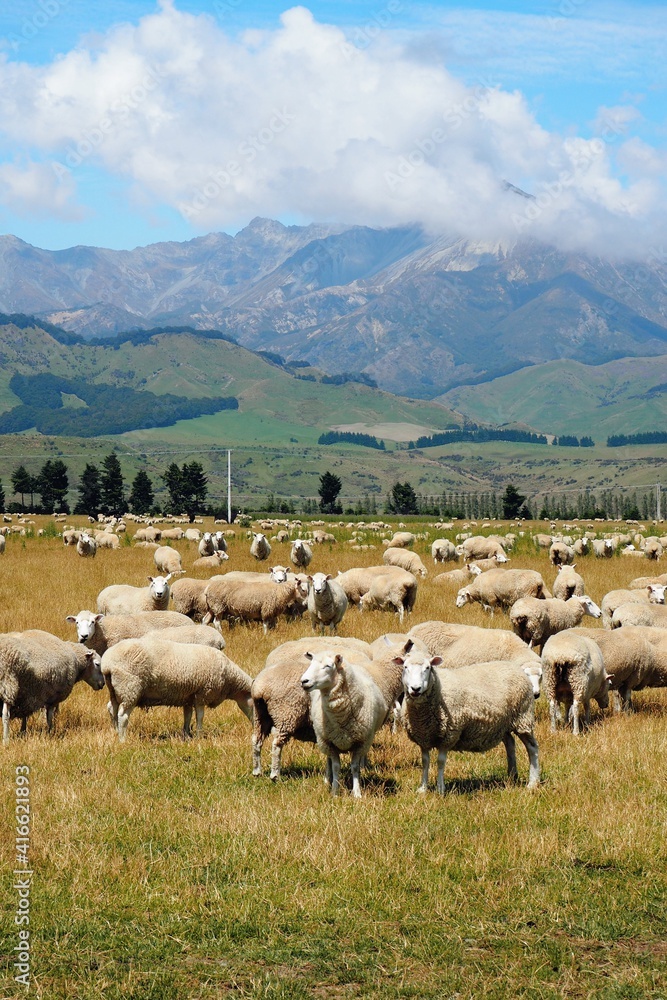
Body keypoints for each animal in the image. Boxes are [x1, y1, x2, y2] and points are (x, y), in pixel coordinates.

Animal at [102, 637, 253, 741]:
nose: (255, 725)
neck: (229, 678)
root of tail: (107, 664)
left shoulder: (188, 696)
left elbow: (188, 716)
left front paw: (187, 735)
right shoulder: (202, 694)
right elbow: (200, 716)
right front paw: (199, 736)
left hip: (115, 691)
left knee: (113, 709)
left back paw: (116, 732)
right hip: (130, 688)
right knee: (123, 716)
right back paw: (123, 739)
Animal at [252, 636, 373, 779]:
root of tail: (260, 687)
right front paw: (363, 768)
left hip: (260, 715)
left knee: (256, 740)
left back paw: (256, 771)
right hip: (285, 715)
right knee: (276, 744)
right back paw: (275, 774)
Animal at [300, 651, 388, 797]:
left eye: (328, 666)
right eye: (310, 663)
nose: (304, 681)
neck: (339, 717)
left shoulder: (360, 743)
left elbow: (355, 767)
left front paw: (357, 793)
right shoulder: (330, 743)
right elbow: (336, 767)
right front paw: (335, 791)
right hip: (324, 740)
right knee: (328, 761)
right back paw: (327, 779)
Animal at [398, 649, 540, 793]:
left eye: (428, 668)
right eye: (405, 667)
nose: (415, 689)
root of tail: (518, 669)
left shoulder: (449, 735)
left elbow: (440, 762)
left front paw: (440, 788)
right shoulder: (423, 737)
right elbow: (425, 762)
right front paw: (422, 789)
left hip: (523, 717)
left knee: (532, 748)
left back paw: (533, 782)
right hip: (503, 724)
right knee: (510, 744)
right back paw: (512, 776)